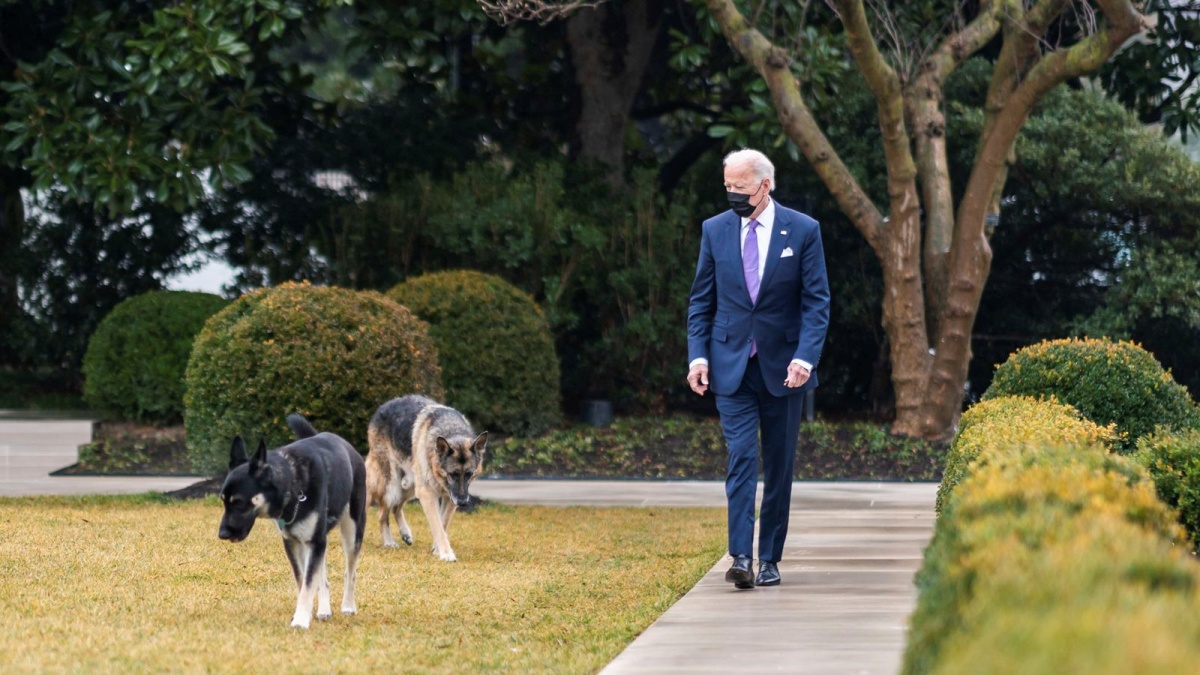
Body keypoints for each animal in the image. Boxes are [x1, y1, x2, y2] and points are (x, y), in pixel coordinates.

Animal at [216, 413, 364, 629]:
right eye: (223, 501)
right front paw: (302, 614)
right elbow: (303, 581)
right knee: (323, 578)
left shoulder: (314, 541)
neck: (292, 485)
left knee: (350, 573)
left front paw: (301, 621)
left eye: (239, 502)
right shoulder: (295, 543)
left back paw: (348, 606)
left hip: (352, 531)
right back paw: (324, 610)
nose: (222, 535)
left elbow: (309, 584)